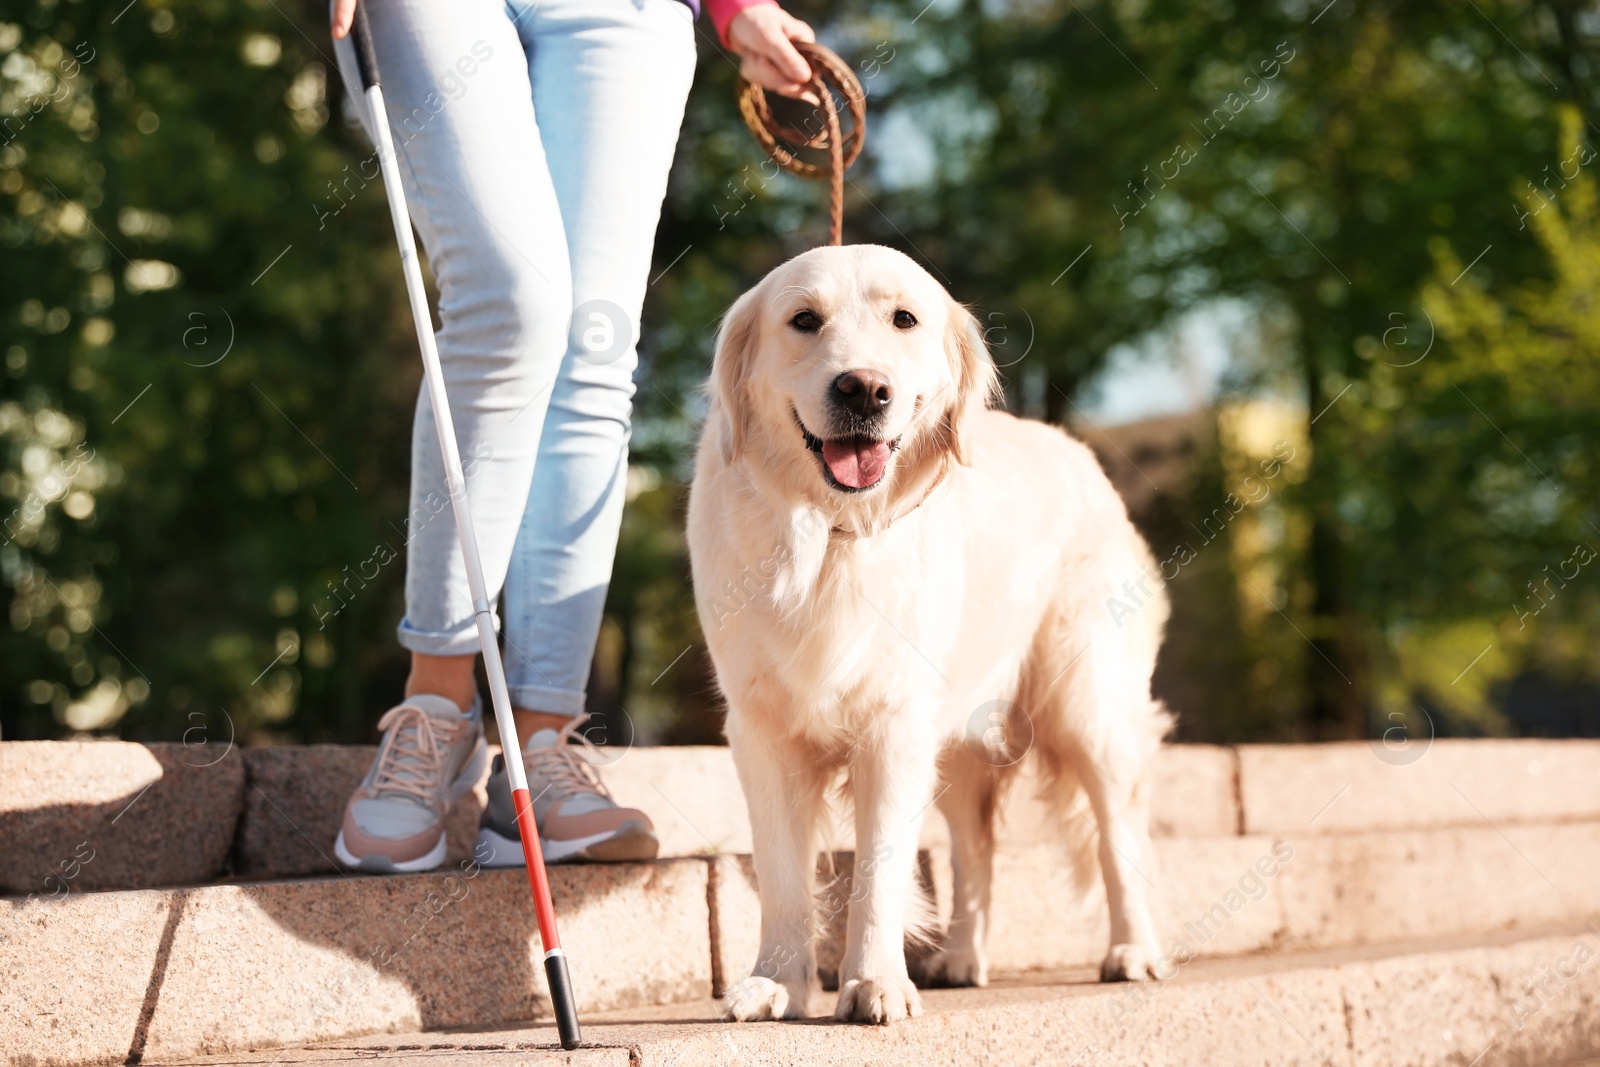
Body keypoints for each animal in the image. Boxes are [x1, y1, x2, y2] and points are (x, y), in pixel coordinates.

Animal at [691, 244, 1177, 1023]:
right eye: (804, 320)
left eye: (904, 319)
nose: (863, 389)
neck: (834, 535)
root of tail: (1078, 452)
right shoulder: (762, 728)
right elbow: (783, 875)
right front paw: (776, 983)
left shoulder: (895, 725)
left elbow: (880, 868)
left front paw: (874, 982)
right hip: (960, 734)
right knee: (976, 847)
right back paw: (962, 956)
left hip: (1088, 706)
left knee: (1117, 831)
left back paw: (1133, 950)